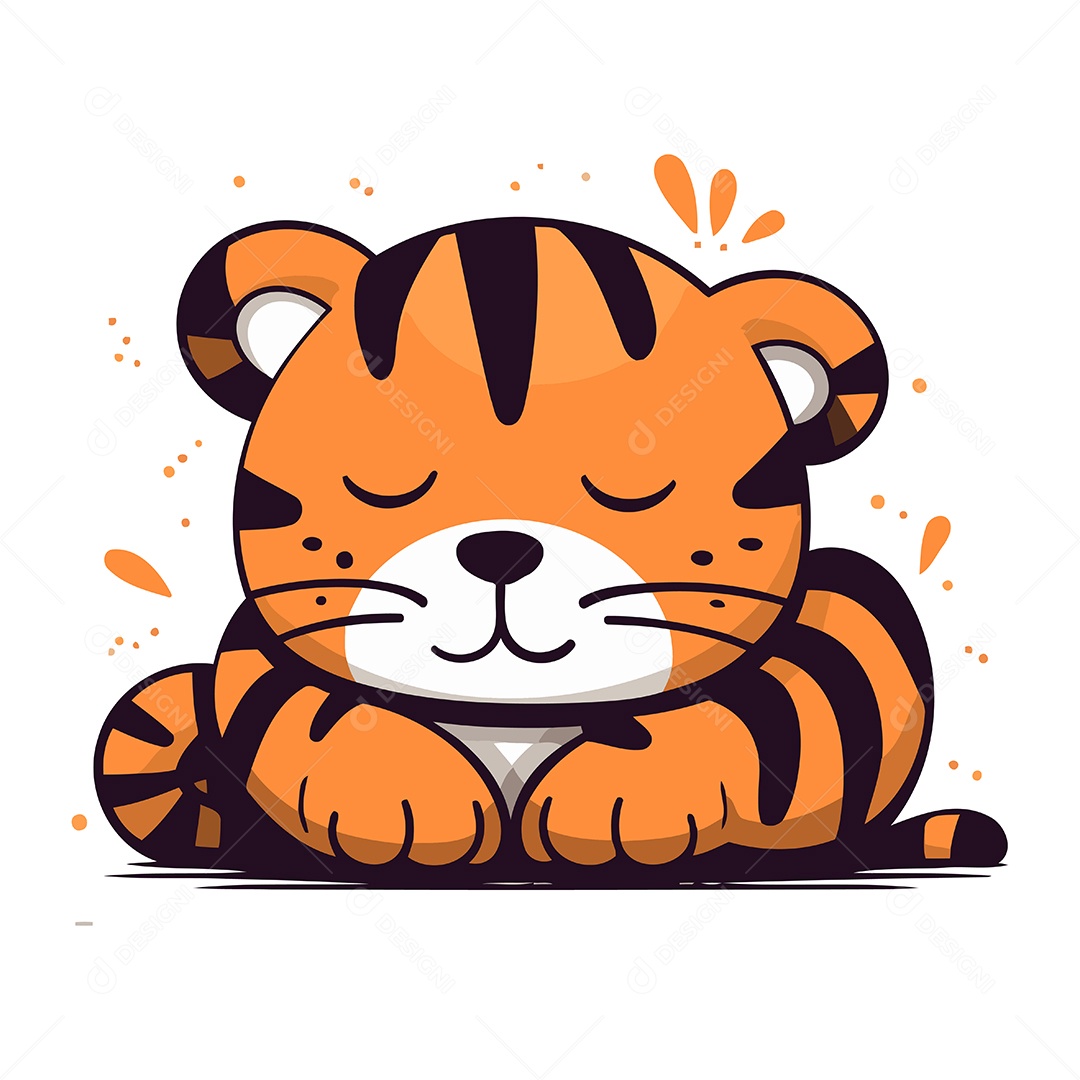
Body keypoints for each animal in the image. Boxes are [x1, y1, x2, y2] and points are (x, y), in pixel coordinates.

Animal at [94, 215, 1007, 882]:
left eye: (633, 488)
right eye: (386, 486)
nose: (500, 552)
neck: (514, 714)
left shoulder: (838, 632)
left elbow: (764, 704)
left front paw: (620, 800)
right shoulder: (267, 638)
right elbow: (309, 704)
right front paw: (400, 803)